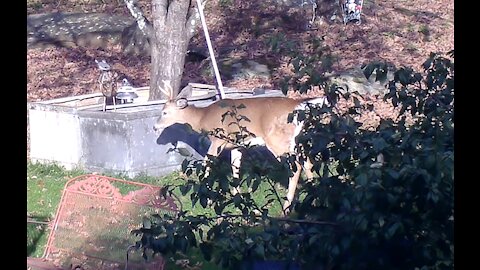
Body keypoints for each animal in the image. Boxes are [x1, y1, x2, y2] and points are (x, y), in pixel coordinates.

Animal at [154, 80, 330, 215]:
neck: (202, 118)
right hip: (296, 140)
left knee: (296, 168)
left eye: (164, 112)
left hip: (277, 140)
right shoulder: (236, 145)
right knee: (308, 163)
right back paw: (315, 200)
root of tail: (299, 106)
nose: (155, 127)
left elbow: (207, 164)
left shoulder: (218, 139)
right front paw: (239, 199)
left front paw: (207, 200)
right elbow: (235, 168)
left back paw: (285, 210)